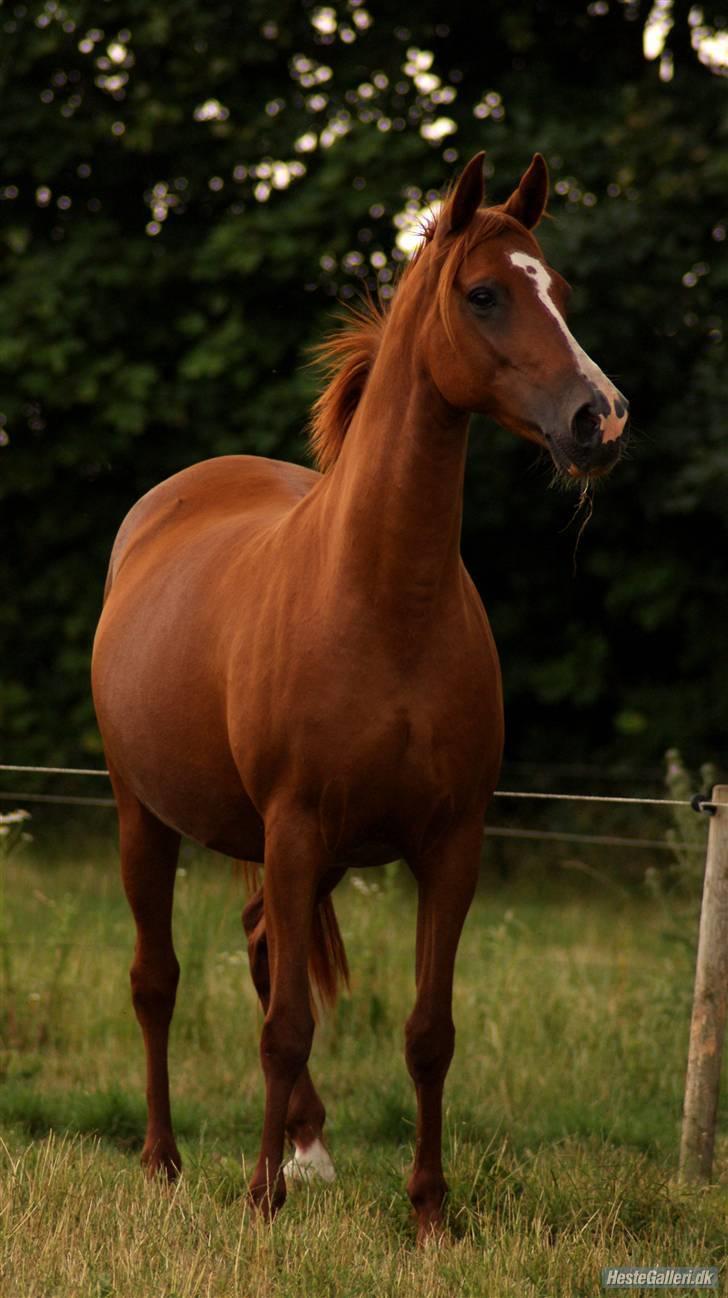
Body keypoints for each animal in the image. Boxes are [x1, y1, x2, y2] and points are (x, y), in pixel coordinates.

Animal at [90, 157, 625, 1240]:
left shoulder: (448, 845)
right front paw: (258, 1200)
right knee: (158, 981)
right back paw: (167, 1160)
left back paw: (310, 1147)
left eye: (556, 289)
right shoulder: (294, 830)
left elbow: (427, 1030)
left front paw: (428, 1212)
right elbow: (285, 1022)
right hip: (147, 817)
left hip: (310, 855)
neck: (384, 602)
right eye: (484, 293)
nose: (600, 419)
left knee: (262, 946)